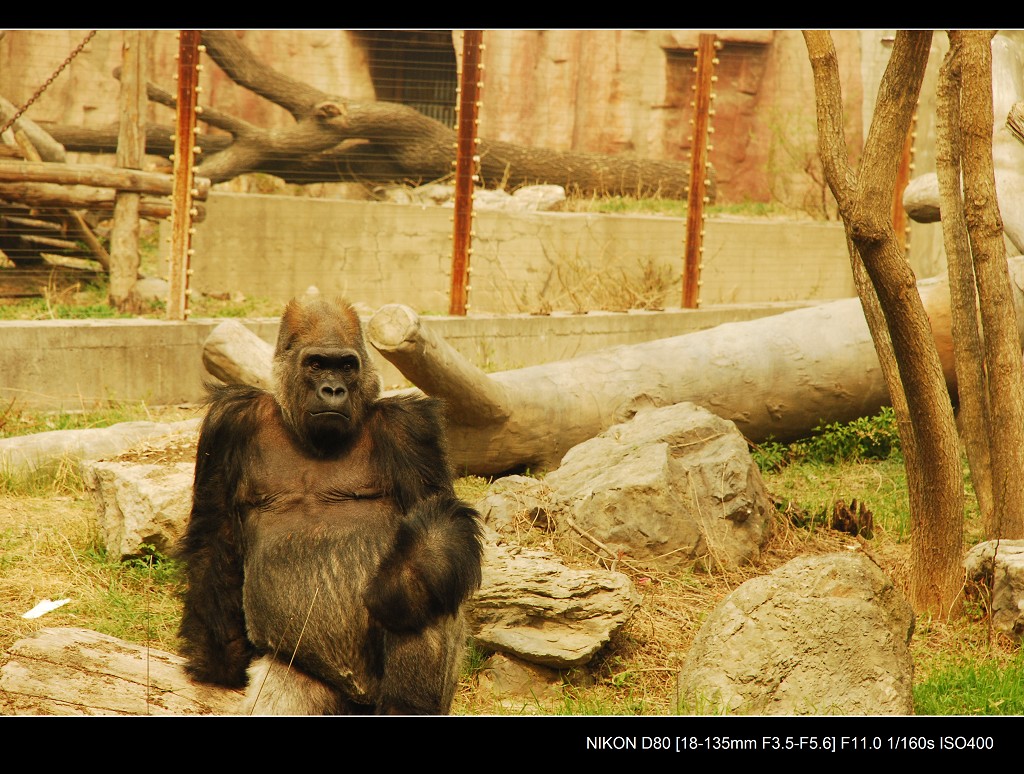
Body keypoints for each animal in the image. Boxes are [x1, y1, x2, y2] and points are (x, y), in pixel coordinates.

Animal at [178, 296, 481, 712]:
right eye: (317, 364)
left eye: (347, 366)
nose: (333, 389)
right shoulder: (229, 421)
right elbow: (215, 537)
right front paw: (217, 659)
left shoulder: (410, 428)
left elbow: (442, 519)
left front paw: (398, 589)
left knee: (430, 588)